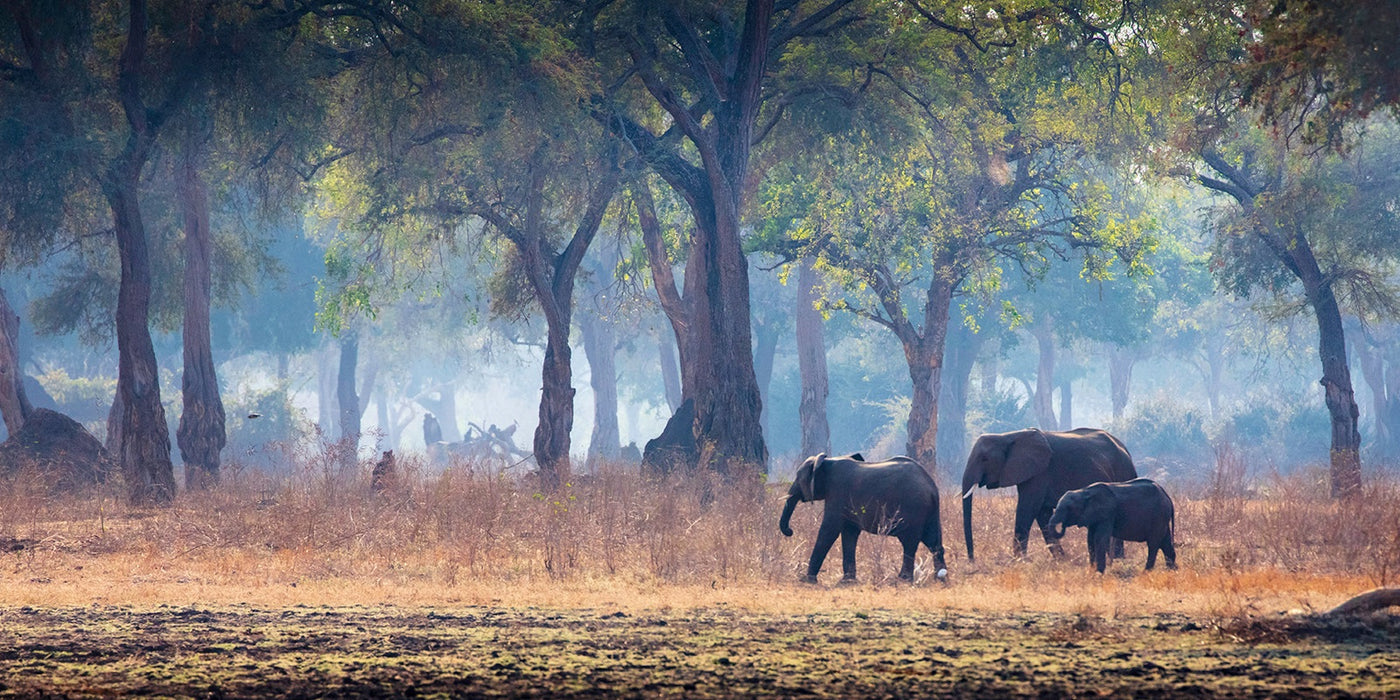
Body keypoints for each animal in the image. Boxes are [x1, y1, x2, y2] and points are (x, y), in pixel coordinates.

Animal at [779, 452, 949, 584]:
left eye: (798, 478)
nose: (790, 531)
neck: (826, 461)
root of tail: (932, 488)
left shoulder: (838, 493)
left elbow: (829, 530)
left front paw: (807, 581)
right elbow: (849, 533)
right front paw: (847, 582)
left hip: (913, 509)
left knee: (909, 543)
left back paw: (902, 580)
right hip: (929, 512)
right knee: (933, 541)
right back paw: (940, 579)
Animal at [961, 427, 1138, 561]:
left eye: (984, 459)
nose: (972, 560)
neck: (1008, 436)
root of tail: (1126, 450)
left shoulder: (1039, 472)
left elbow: (1027, 509)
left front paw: (1019, 561)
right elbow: (1042, 513)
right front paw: (1062, 560)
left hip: (1124, 471)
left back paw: (1118, 560)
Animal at [1048, 478, 1177, 573]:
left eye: (1069, 508)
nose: (1063, 525)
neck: (1084, 492)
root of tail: (1168, 498)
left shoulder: (1107, 514)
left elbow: (1099, 539)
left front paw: (1099, 573)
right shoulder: (1093, 518)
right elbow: (1090, 540)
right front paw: (1091, 571)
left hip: (1159, 516)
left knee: (1153, 544)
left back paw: (1146, 572)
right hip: (1162, 518)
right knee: (1165, 543)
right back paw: (1172, 570)